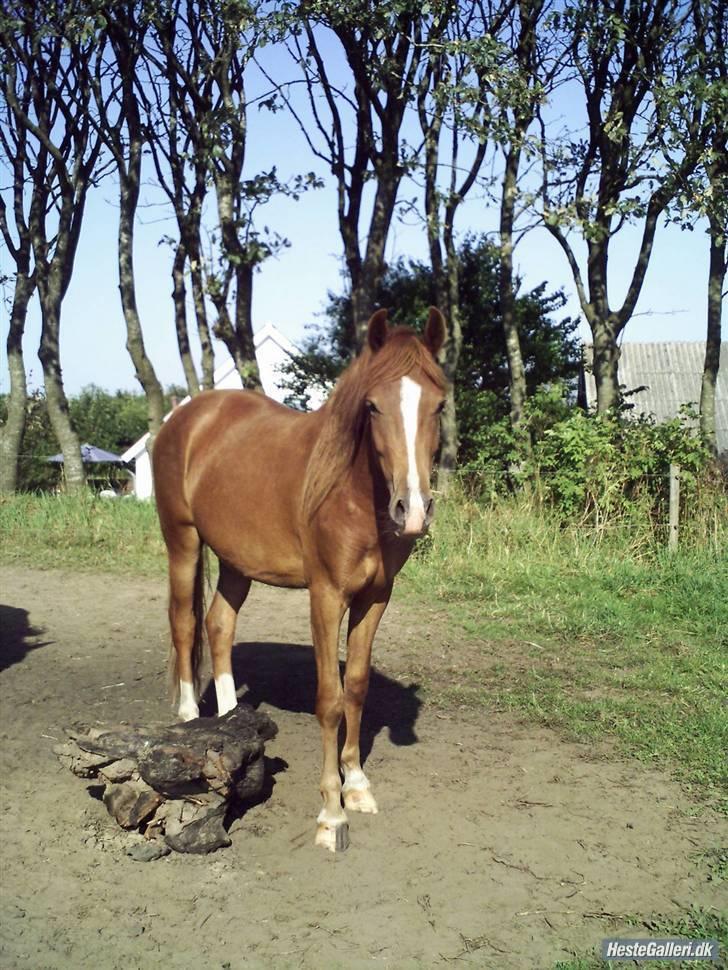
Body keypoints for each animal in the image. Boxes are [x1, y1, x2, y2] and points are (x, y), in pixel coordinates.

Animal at [153, 308, 446, 848]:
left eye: (438, 405)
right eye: (373, 406)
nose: (412, 510)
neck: (350, 492)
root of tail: (187, 417)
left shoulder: (376, 598)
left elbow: (355, 688)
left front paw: (357, 786)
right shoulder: (326, 596)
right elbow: (329, 700)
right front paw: (332, 813)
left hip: (237, 562)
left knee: (219, 624)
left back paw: (231, 719)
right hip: (182, 542)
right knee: (184, 624)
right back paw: (187, 717)